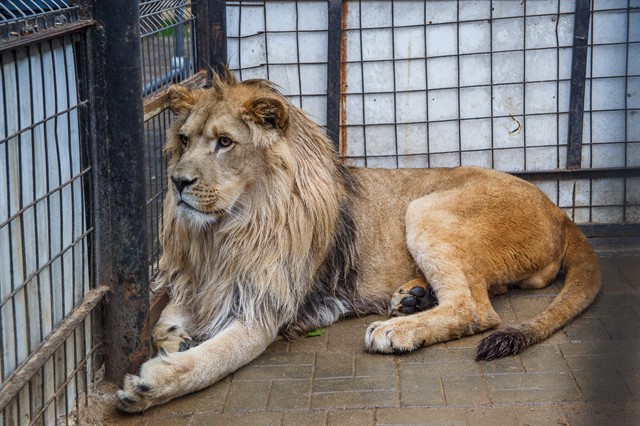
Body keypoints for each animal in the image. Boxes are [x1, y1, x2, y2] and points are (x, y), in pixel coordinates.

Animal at [115, 72, 600, 412]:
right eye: (183, 140)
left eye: (224, 142)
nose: (177, 182)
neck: (224, 232)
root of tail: (559, 210)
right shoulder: (198, 288)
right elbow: (162, 326)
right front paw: (177, 343)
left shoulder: (262, 311)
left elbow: (211, 360)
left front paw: (151, 384)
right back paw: (412, 298)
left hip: (425, 209)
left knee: (475, 309)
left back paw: (396, 329)